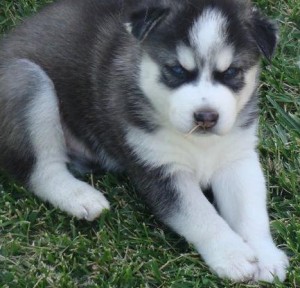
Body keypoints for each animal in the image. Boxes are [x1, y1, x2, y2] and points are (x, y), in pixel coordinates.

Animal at [0, 0, 290, 284]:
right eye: (176, 69)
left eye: (231, 72)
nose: (206, 117)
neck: (199, 143)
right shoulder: (159, 169)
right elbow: (200, 214)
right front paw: (232, 255)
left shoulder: (237, 157)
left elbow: (250, 211)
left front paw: (266, 256)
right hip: (29, 82)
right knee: (42, 172)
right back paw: (80, 197)